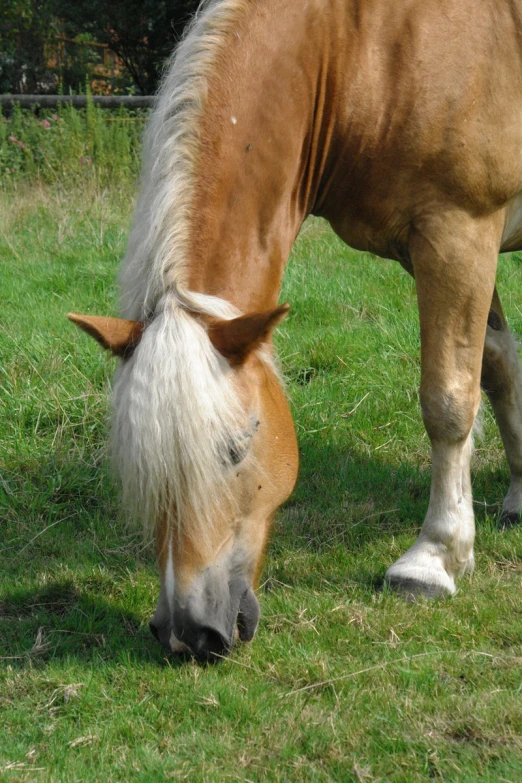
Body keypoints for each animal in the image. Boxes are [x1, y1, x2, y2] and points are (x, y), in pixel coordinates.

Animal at [67, 0, 520, 660]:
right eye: (140, 467)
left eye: (235, 449)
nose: (188, 634)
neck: (366, 45)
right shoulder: (438, 250)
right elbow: (497, 365)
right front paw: (519, 494)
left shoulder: (459, 231)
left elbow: (448, 400)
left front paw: (435, 558)